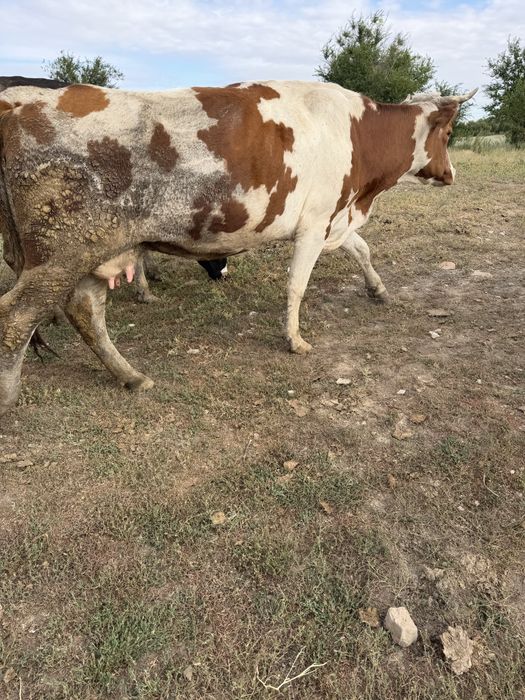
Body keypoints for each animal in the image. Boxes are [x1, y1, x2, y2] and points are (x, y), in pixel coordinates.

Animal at [0, 80, 476, 416]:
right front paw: (294, 339)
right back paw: (9, 395)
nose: (451, 174)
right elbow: (297, 285)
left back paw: (131, 376)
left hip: (93, 252)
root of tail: (19, 104)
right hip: (59, 256)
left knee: (86, 312)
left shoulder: (333, 220)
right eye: (449, 131)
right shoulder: (315, 223)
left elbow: (362, 250)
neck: (357, 133)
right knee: (17, 317)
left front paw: (378, 290)